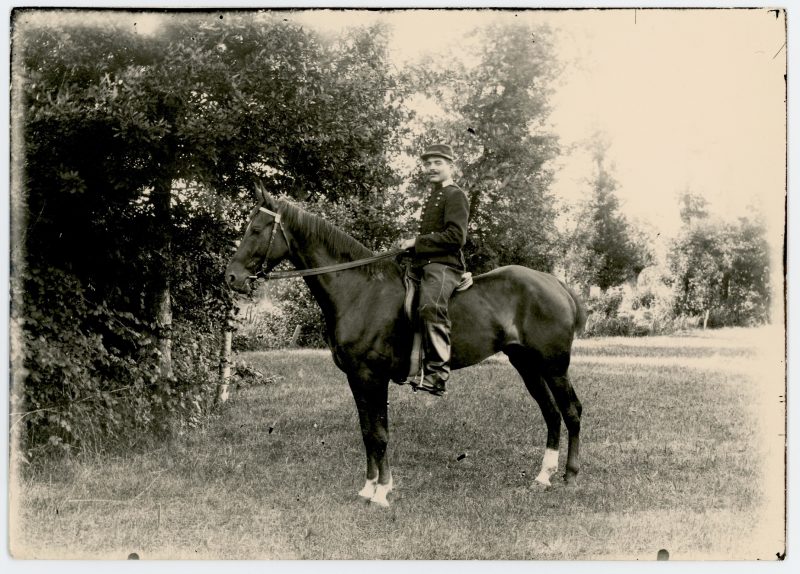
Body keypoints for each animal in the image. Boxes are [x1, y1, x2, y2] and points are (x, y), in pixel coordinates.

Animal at [225, 192, 588, 508]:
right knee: (551, 413)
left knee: (571, 411)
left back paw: (571, 476)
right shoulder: (357, 379)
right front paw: (368, 487)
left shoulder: (373, 376)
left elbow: (380, 433)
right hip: (527, 365)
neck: (360, 292)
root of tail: (556, 283)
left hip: (554, 367)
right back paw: (543, 476)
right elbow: (367, 432)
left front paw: (382, 493)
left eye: (256, 229)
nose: (232, 278)